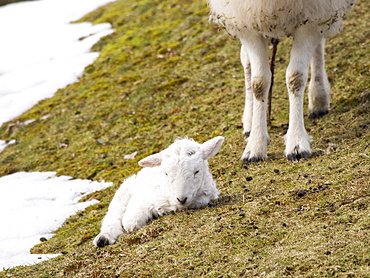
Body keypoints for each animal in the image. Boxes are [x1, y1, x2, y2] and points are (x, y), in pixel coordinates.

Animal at [94, 136, 224, 247]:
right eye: (166, 173)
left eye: (197, 171)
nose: (181, 199)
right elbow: (130, 222)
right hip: (123, 194)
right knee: (112, 217)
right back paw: (102, 239)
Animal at [208, 0, 356, 163]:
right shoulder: (247, 20)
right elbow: (259, 83)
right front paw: (255, 146)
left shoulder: (311, 19)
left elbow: (295, 77)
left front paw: (297, 143)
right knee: (246, 60)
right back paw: (249, 121)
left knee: (319, 42)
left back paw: (319, 98)